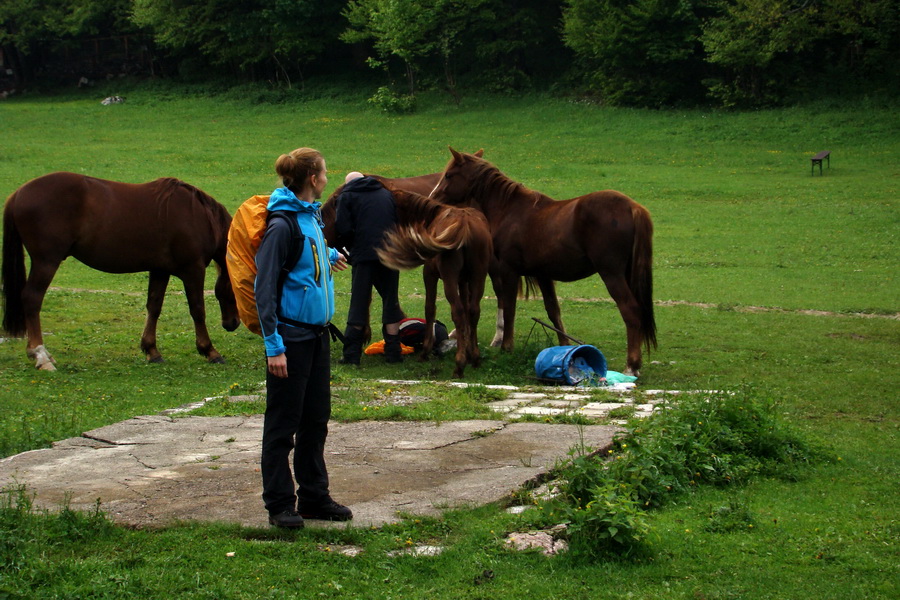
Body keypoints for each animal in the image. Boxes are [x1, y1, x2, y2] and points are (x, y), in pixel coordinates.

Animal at [1, 171, 241, 370]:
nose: (232, 324)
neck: (199, 217)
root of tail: (18, 194)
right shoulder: (193, 270)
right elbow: (198, 310)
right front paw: (209, 351)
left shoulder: (160, 270)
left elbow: (154, 307)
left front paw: (151, 350)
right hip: (46, 262)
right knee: (32, 299)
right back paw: (41, 355)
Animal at [376, 190, 496, 378]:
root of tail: (465, 224)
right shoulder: (463, 281)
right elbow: (467, 312)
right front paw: (469, 352)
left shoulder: (430, 276)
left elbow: (430, 309)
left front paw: (425, 352)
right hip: (478, 276)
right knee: (473, 311)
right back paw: (474, 359)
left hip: (449, 278)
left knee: (458, 312)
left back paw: (459, 366)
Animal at [428, 149, 652, 376]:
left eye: (449, 175)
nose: (433, 198)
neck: (510, 209)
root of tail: (632, 207)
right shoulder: (543, 274)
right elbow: (554, 312)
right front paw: (565, 351)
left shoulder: (509, 271)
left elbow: (509, 309)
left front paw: (506, 347)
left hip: (611, 274)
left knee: (631, 311)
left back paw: (631, 366)